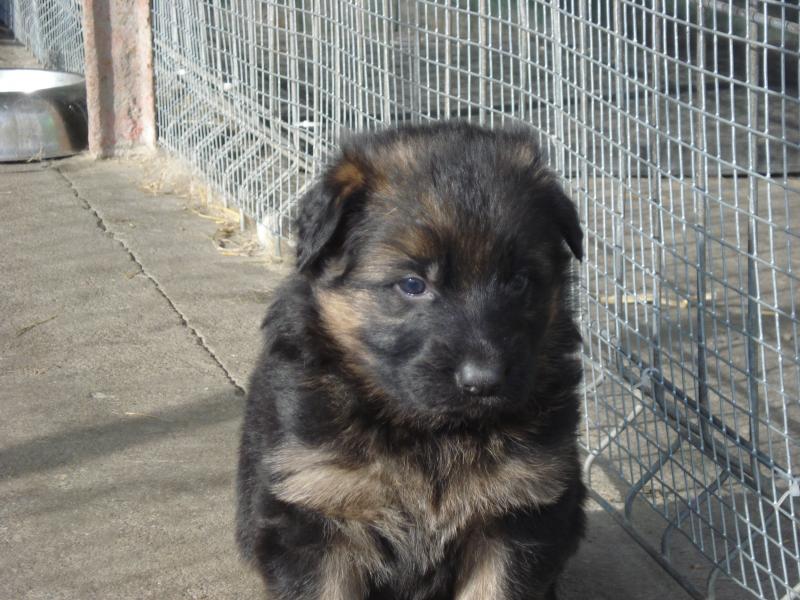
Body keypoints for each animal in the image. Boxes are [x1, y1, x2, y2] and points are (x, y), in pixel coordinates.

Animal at [236, 121, 586, 600]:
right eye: (412, 284)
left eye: (518, 282)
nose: (485, 381)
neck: (430, 434)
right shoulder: (315, 511)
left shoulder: (517, 518)